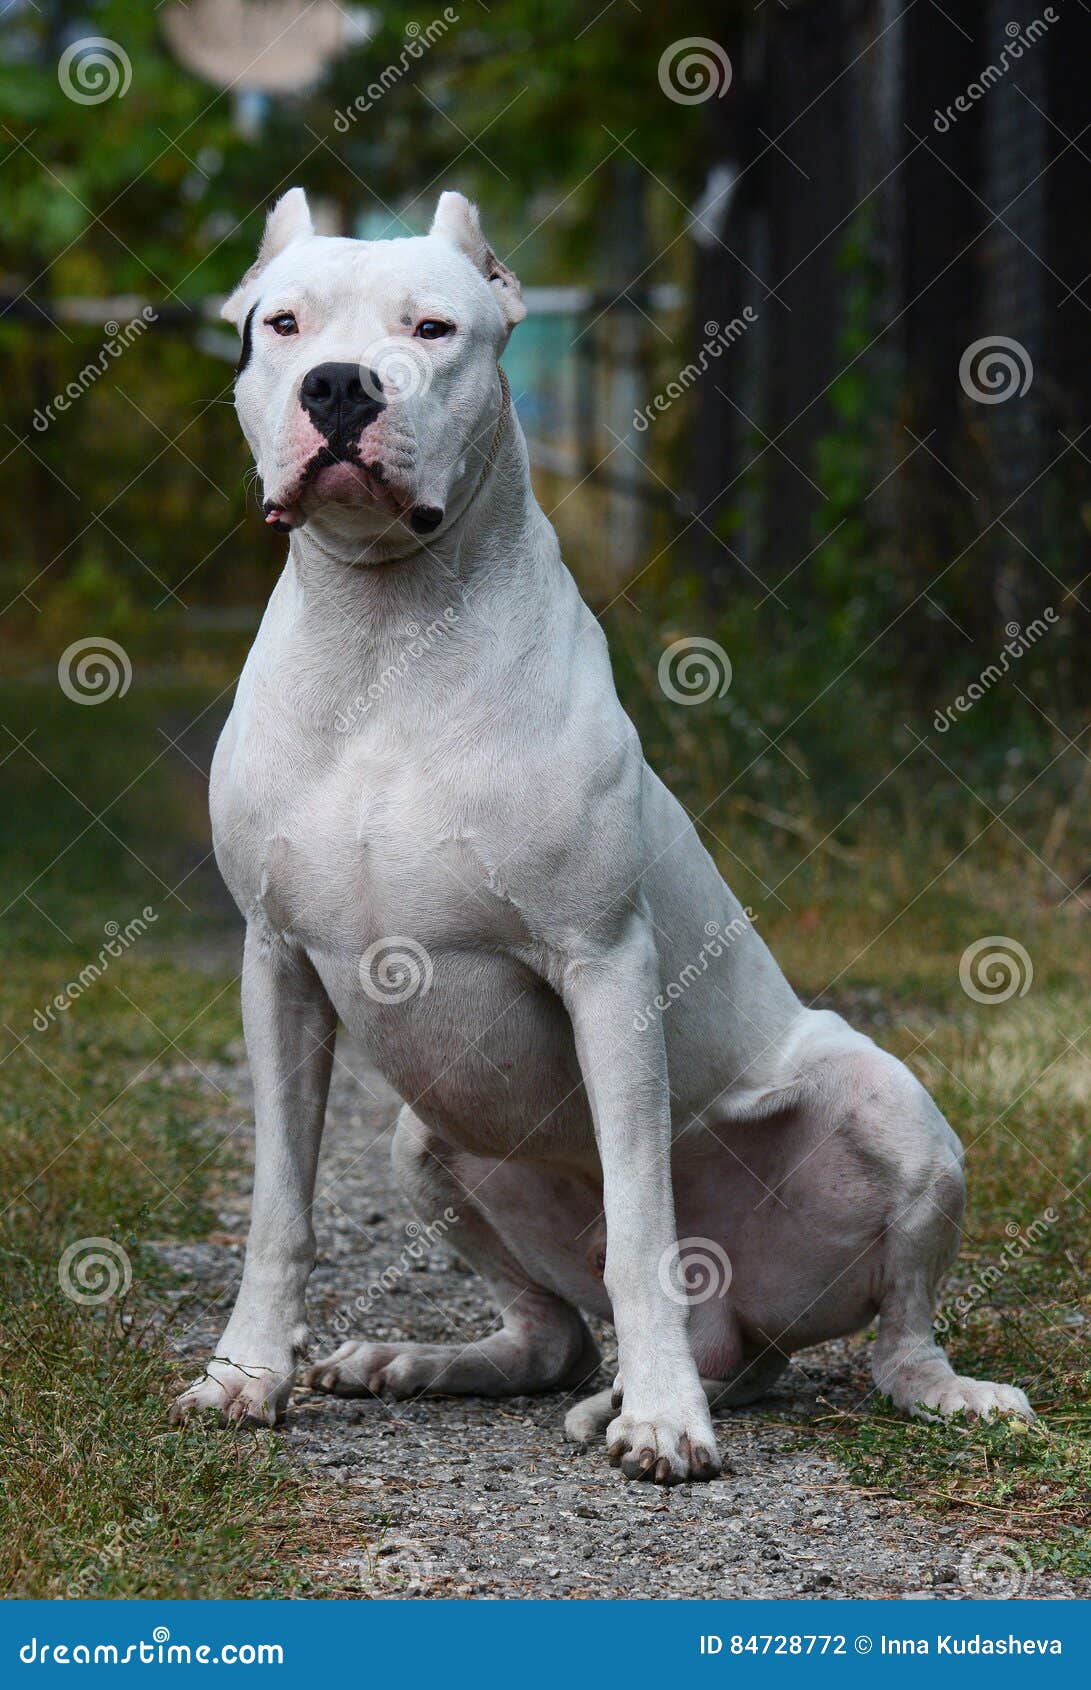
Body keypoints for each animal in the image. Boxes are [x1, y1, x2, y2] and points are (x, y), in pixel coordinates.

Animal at [175, 185, 1040, 1480]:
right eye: (280, 324)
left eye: (433, 329)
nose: (337, 386)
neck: (386, 636)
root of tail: (745, 1325)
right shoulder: (276, 966)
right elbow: (281, 1202)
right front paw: (245, 1375)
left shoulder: (604, 965)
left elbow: (639, 1220)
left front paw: (665, 1422)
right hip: (426, 1142)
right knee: (553, 1336)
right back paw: (432, 1362)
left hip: (891, 1103)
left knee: (885, 1337)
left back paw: (874, 1389)